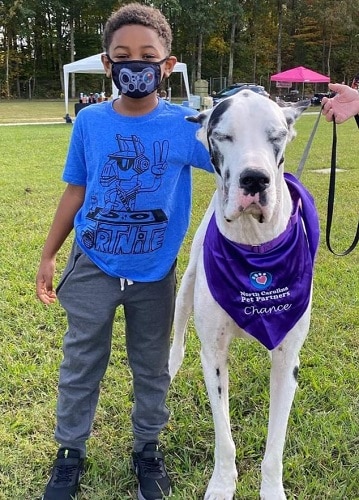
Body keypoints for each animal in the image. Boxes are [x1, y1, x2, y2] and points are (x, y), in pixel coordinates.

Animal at [169, 92, 320, 500]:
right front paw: (222, 485)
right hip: (186, 285)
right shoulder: (213, 357)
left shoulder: (287, 362)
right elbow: (225, 438)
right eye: (223, 135)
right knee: (177, 332)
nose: (254, 178)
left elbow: (275, 446)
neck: (254, 246)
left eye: (277, 135)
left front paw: (271, 490)